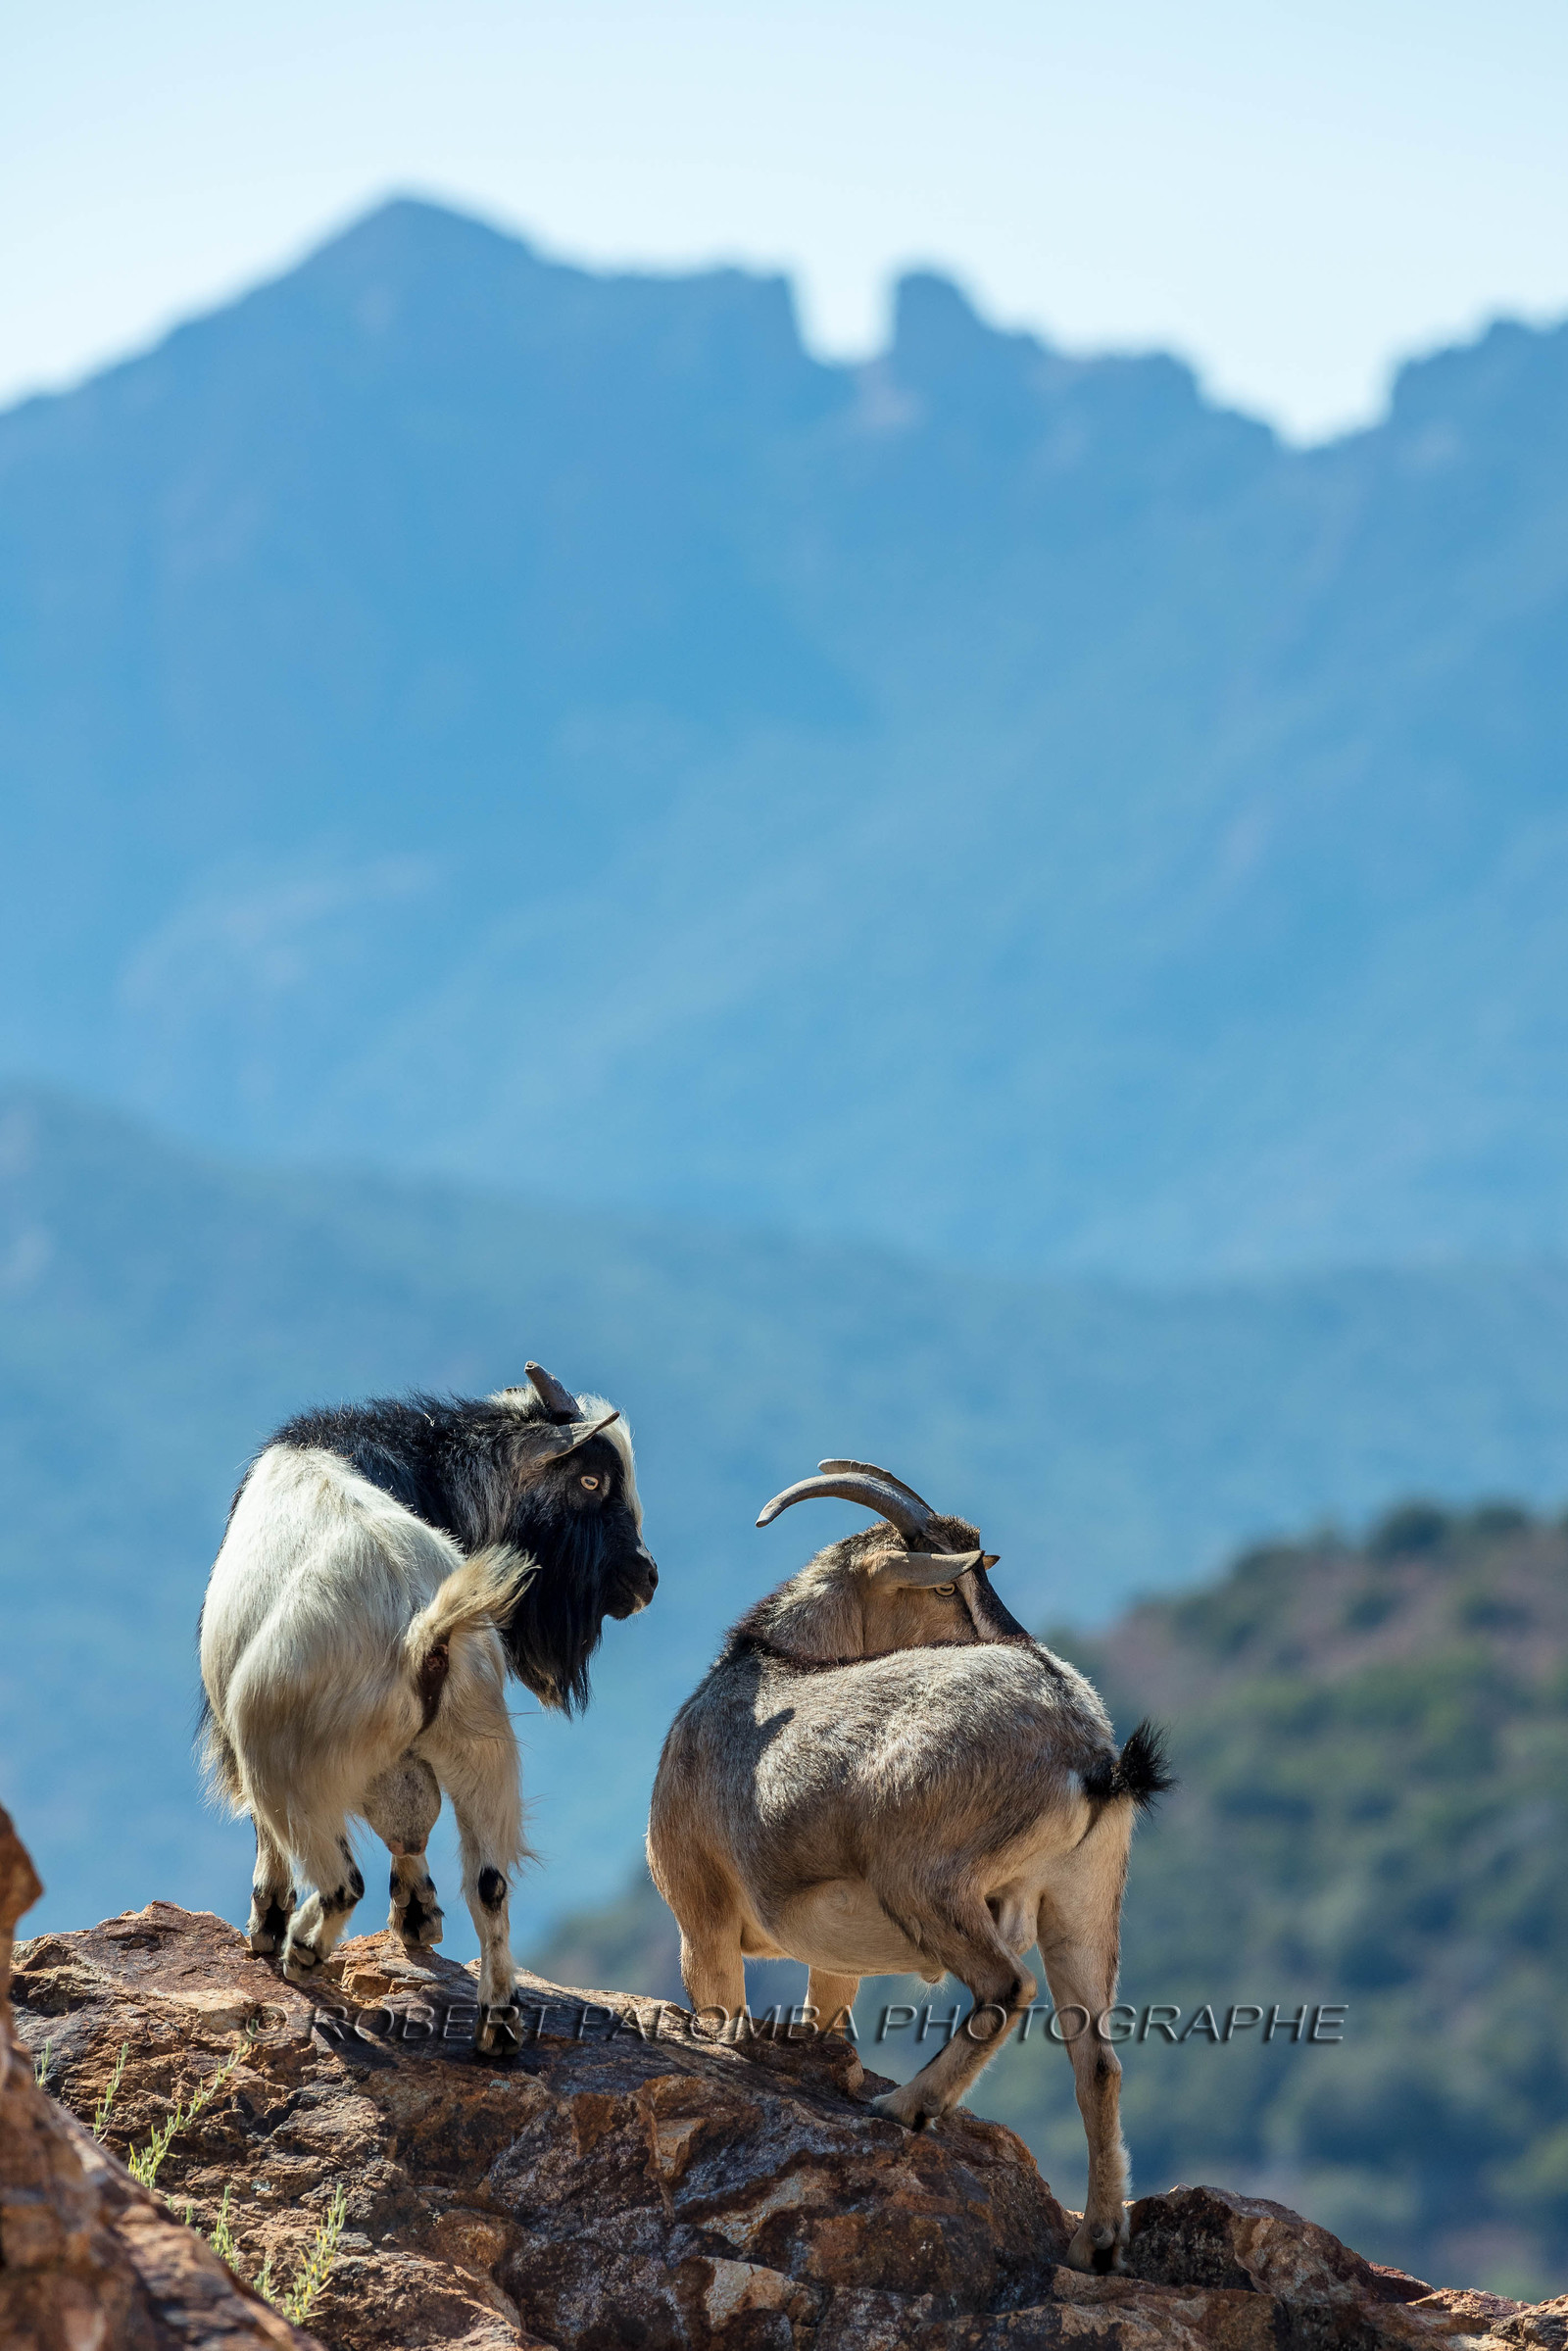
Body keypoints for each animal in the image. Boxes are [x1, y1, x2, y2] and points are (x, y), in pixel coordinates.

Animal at [200, 1362, 657, 2045]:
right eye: (591, 1479)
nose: (645, 1579)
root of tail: (423, 1630)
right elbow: (410, 1826)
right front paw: (419, 1919)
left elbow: (271, 1840)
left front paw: (266, 1926)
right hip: (482, 1746)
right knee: (489, 1883)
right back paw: (498, 2024)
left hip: (286, 1765)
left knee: (341, 1880)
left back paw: (301, 1949)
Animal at [647, 1459, 1169, 2270]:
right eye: (949, 1586)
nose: (1020, 1636)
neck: (762, 1670)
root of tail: (1089, 1753)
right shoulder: (831, 1960)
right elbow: (826, 2016)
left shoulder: (700, 1917)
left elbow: (724, 2013)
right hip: (1082, 1901)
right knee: (1098, 2060)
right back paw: (1096, 2241)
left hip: (925, 1876)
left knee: (1006, 1985)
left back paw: (907, 2104)